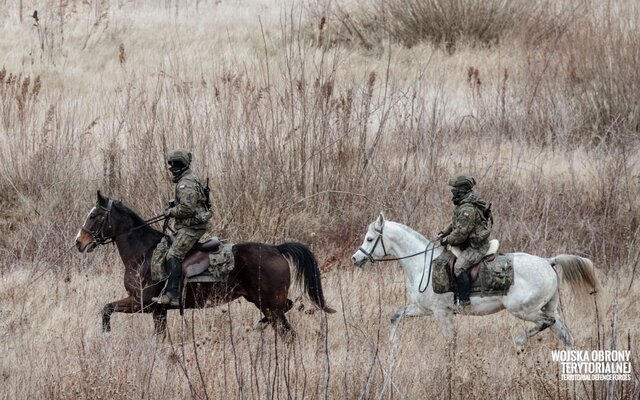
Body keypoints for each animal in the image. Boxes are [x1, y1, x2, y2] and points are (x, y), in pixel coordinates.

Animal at [75, 191, 336, 338]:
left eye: (94, 215)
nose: (79, 242)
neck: (143, 254)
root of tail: (277, 249)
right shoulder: (158, 311)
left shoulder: (143, 303)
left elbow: (106, 308)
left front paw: (106, 335)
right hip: (265, 301)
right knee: (286, 309)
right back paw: (257, 327)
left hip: (270, 304)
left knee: (287, 333)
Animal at [350, 212, 600, 346]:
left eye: (370, 238)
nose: (355, 258)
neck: (423, 264)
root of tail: (548, 262)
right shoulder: (422, 309)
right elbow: (395, 316)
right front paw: (393, 344)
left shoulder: (441, 313)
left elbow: (450, 341)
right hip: (549, 307)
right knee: (565, 334)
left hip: (524, 309)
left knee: (546, 323)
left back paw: (519, 342)